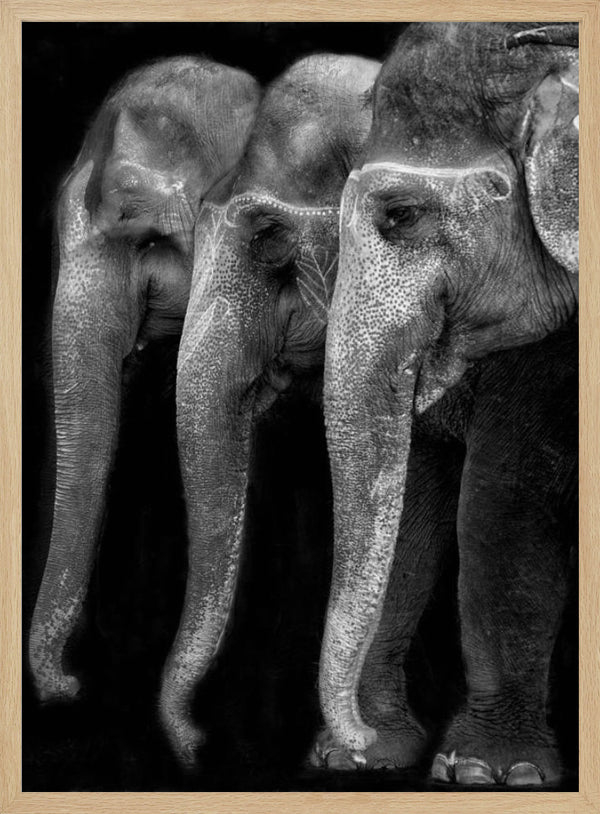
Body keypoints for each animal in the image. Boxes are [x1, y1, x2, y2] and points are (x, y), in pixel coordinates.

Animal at [317, 23, 578, 785]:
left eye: (399, 216)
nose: (354, 740)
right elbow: (419, 494)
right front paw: (376, 758)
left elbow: (503, 501)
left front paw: (491, 773)